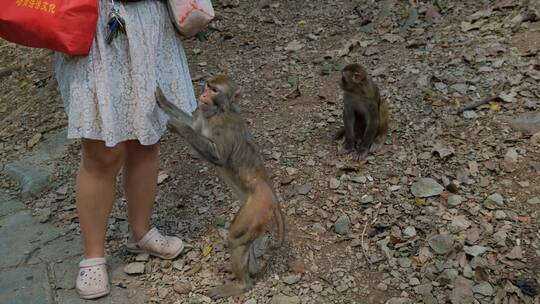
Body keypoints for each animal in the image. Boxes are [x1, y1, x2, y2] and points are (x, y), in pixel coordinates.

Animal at [154, 75, 284, 300]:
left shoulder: (222, 127)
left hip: (257, 209)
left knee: (235, 238)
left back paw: (242, 284)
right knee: (245, 240)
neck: (218, 111)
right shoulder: (203, 117)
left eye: (214, 90)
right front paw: (164, 101)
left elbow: (217, 156)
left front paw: (178, 127)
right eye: (208, 86)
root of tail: (272, 196)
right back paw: (252, 270)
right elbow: (193, 123)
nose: (204, 94)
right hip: (254, 211)